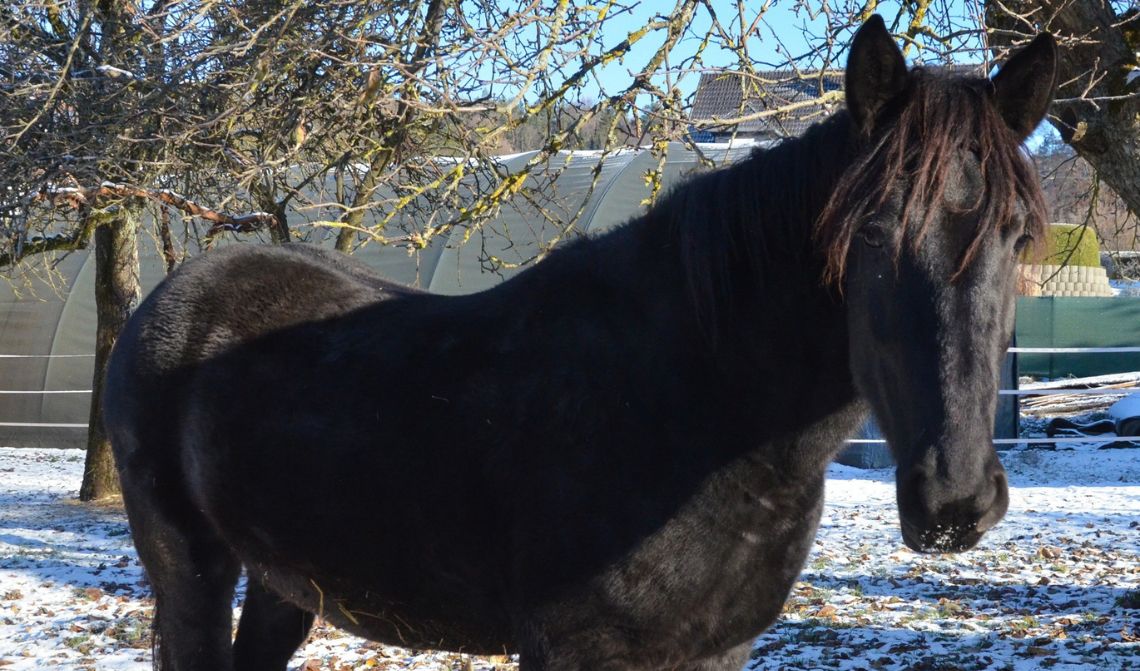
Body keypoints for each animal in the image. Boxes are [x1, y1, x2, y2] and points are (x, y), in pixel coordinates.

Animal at [107, 14, 1057, 669]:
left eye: (1017, 234)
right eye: (872, 232)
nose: (954, 501)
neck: (697, 403)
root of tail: (176, 294)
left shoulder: (715, 650)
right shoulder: (573, 647)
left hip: (283, 582)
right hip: (191, 573)